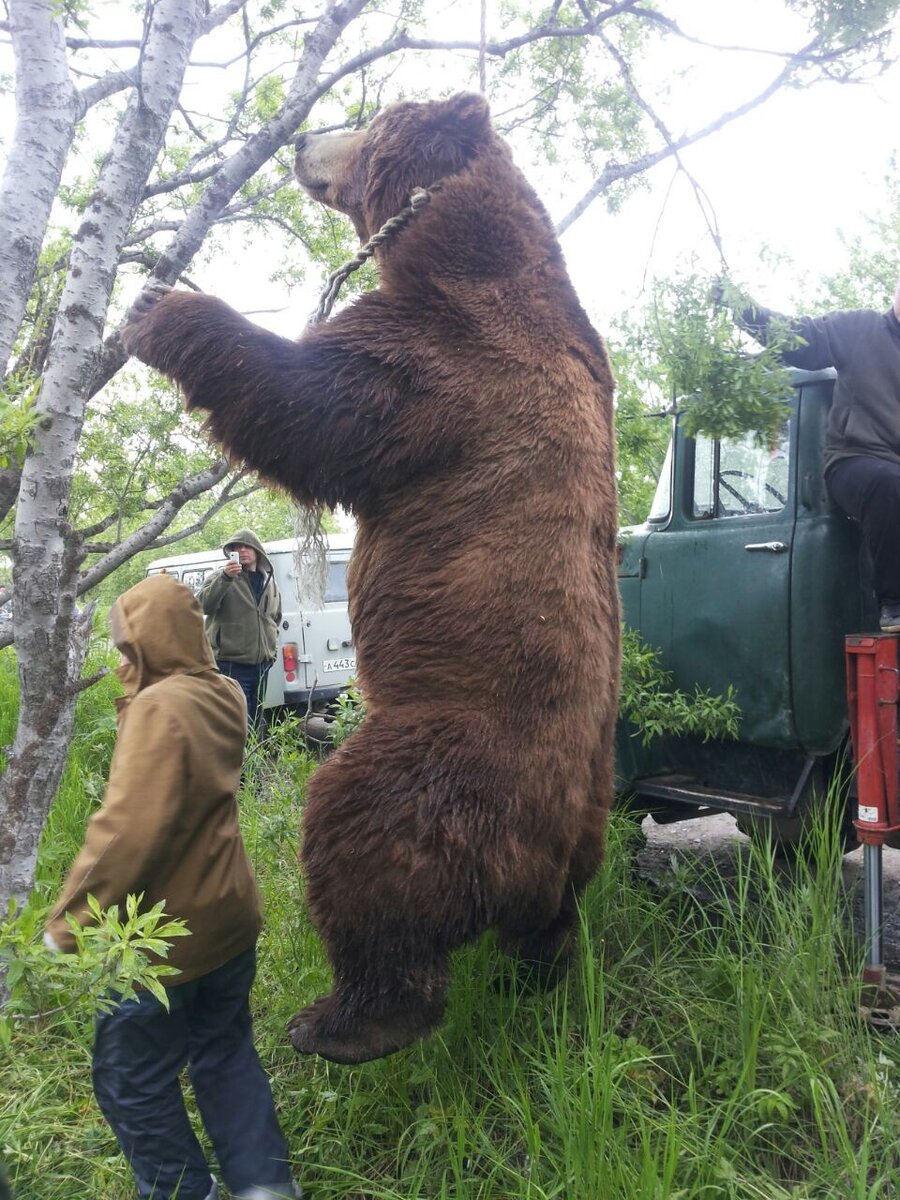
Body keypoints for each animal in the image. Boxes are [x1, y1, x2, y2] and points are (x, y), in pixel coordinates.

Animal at [125, 96, 619, 1070]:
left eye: (368, 117)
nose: (302, 141)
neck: (455, 246)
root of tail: (542, 851)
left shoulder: (444, 368)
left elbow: (312, 399)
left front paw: (162, 309)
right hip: (589, 819)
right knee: (553, 922)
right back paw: (540, 977)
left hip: (445, 757)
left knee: (366, 844)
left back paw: (343, 1021)